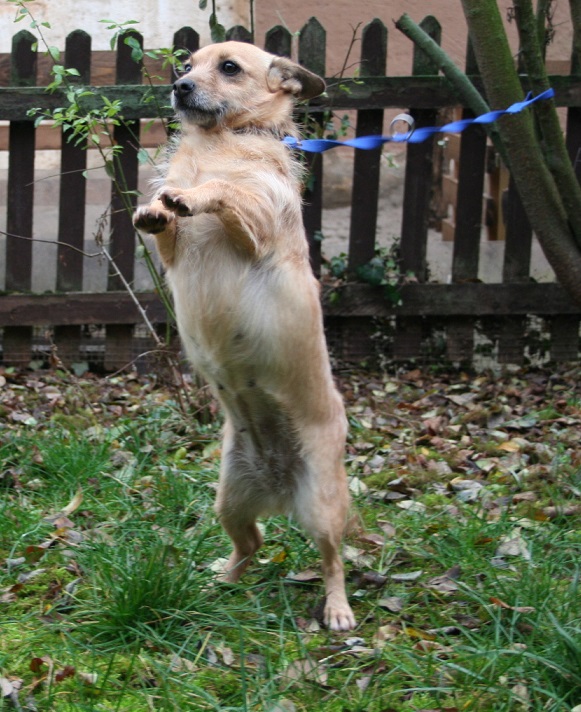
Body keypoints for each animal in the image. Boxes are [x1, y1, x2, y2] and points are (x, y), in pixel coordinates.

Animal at [133, 41, 355, 631]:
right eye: (187, 64)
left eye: (229, 67)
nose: (180, 86)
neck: (220, 141)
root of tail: (279, 489)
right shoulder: (172, 254)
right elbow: (164, 222)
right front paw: (155, 208)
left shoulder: (253, 216)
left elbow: (222, 189)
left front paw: (191, 195)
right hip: (229, 497)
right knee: (250, 543)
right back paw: (222, 581)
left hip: (323, 506)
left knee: (332, 560)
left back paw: (338, 610)